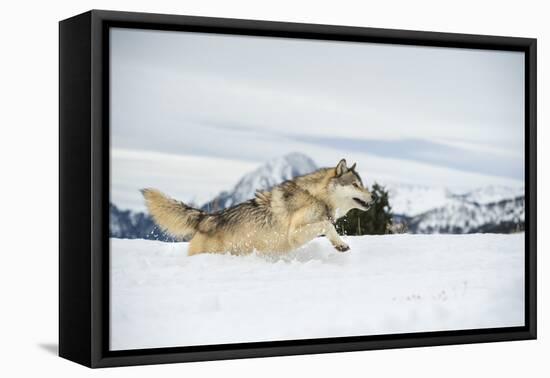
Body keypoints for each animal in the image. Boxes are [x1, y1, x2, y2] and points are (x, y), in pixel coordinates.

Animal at [142, 158, 376, 255]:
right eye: (356, 185)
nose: (373, 197)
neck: (316, 196)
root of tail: (207, 217)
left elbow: (328, 227)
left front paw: (339, 245)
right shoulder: (294, 233)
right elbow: (326, 225)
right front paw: (341, 244)